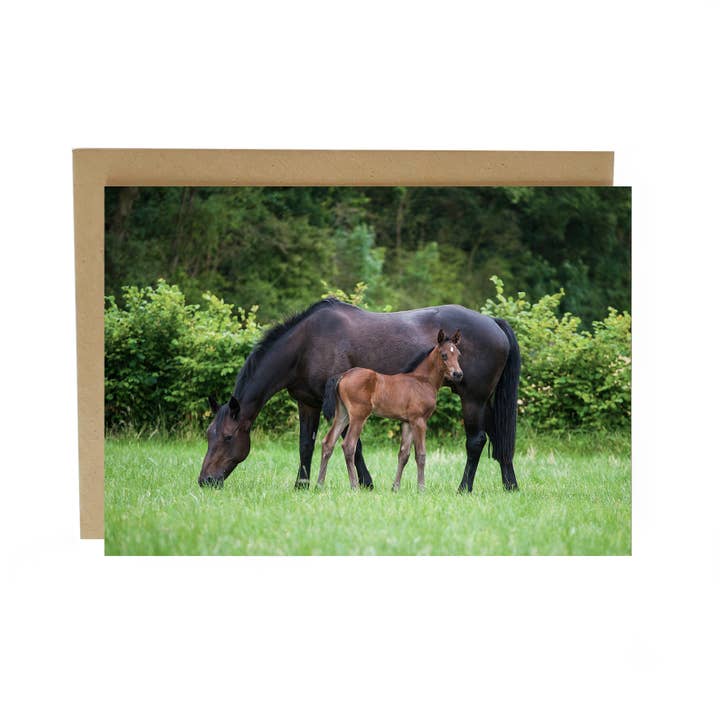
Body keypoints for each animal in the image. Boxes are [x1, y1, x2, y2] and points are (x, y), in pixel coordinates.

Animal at [316, 329, 463, 491]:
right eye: (444, 355)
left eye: (458, 354)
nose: (458, 374)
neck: (422, 381)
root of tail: (343, 375)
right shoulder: (419, 421)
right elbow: (421, 455)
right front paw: (421, 488)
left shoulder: (407, 422)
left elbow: (403, 454)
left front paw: (395, 488)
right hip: (358, 415)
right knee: (348, 445)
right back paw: (354, 486)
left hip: (342, 414)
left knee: (328, 443)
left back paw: (319, 484)